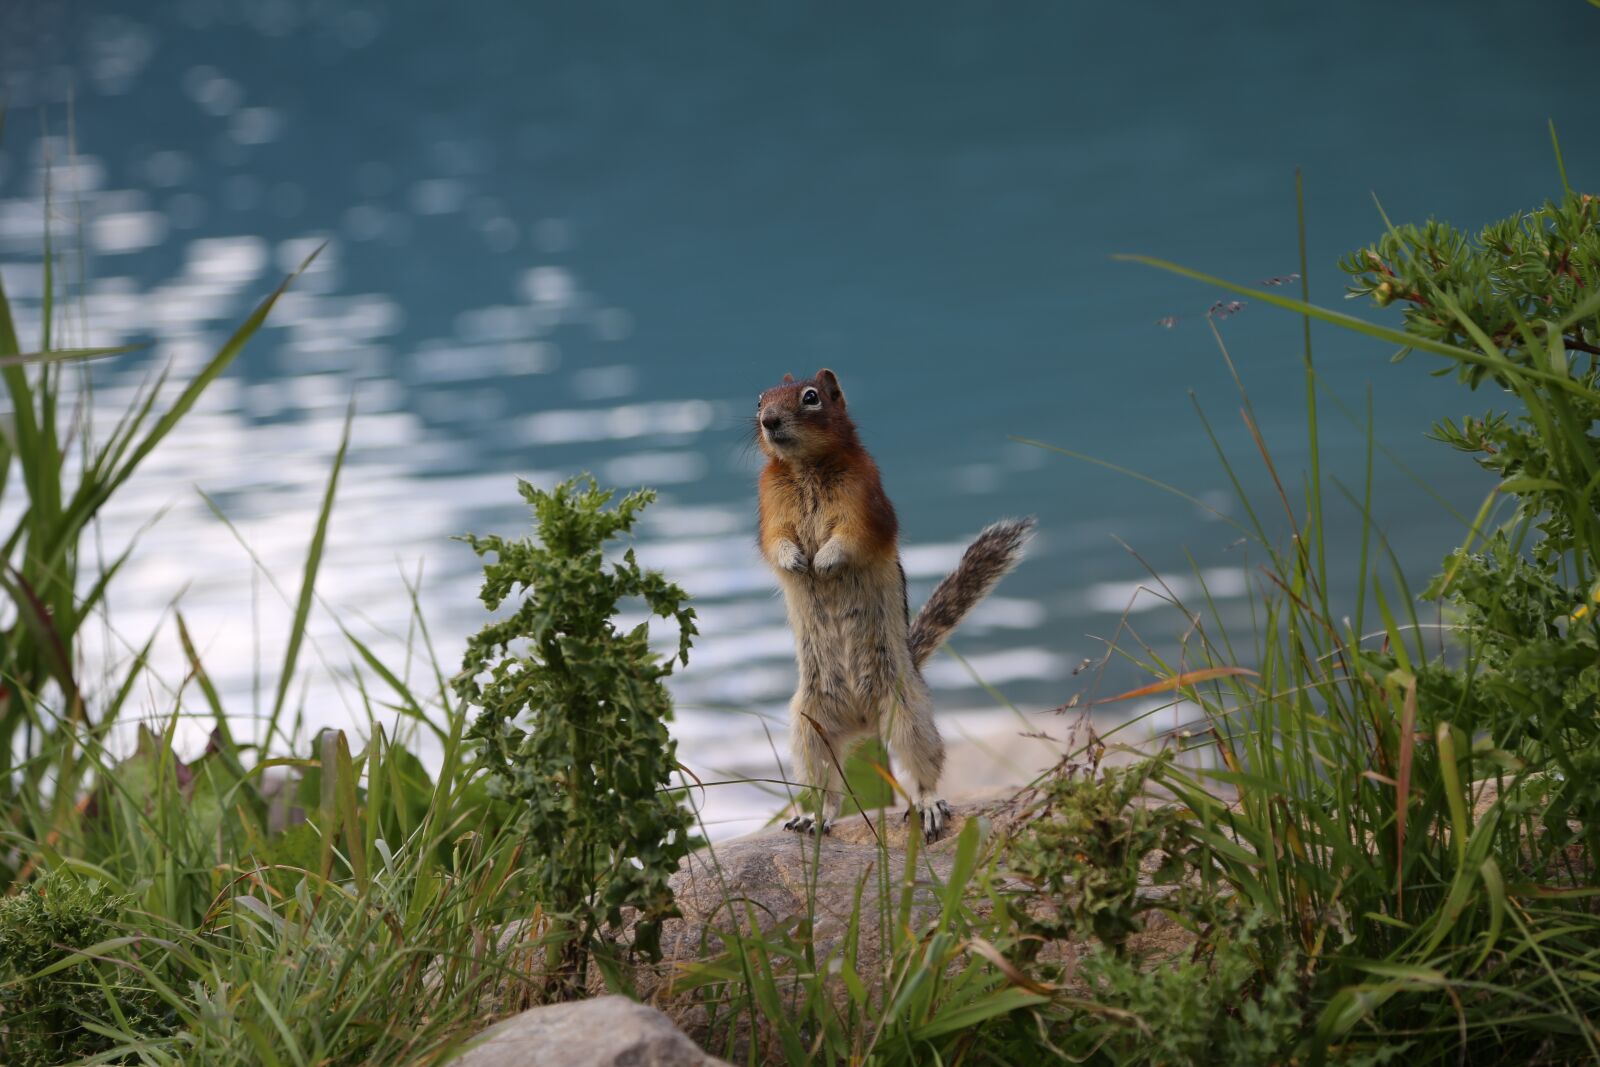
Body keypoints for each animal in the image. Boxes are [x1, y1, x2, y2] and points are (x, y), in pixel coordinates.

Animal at [755, 368, 1034, 841]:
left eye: (810, 397)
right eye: (759, 399)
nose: (768, 421)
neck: (806, 467)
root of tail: (863, 722)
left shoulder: (863, 499)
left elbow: (851, 537)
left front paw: (824, 561)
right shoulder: (770, 506)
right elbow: (776, 542)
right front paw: (796, 560)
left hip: (908, 713)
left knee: (924, 769)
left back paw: (928, 806)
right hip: (808, 727)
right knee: (828, 786)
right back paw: (815, 817)